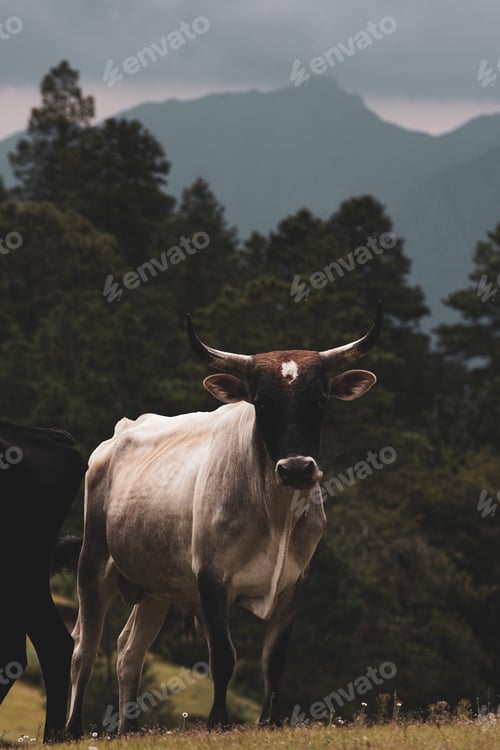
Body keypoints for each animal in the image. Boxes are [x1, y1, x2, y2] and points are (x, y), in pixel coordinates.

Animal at [65, 303, 381, 738]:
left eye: (320, 397)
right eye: (260, 401)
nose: (297, 468)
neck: (276, 514)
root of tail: (118, 434)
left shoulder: (294, 584)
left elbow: (273, 659)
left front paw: (269, 723)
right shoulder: (212, 580)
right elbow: (223, 657)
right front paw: (218, 722)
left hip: (156, 587)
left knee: (129, 651)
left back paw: (128, 730)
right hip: (94, 563)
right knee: (85, 647)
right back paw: (72, 730)